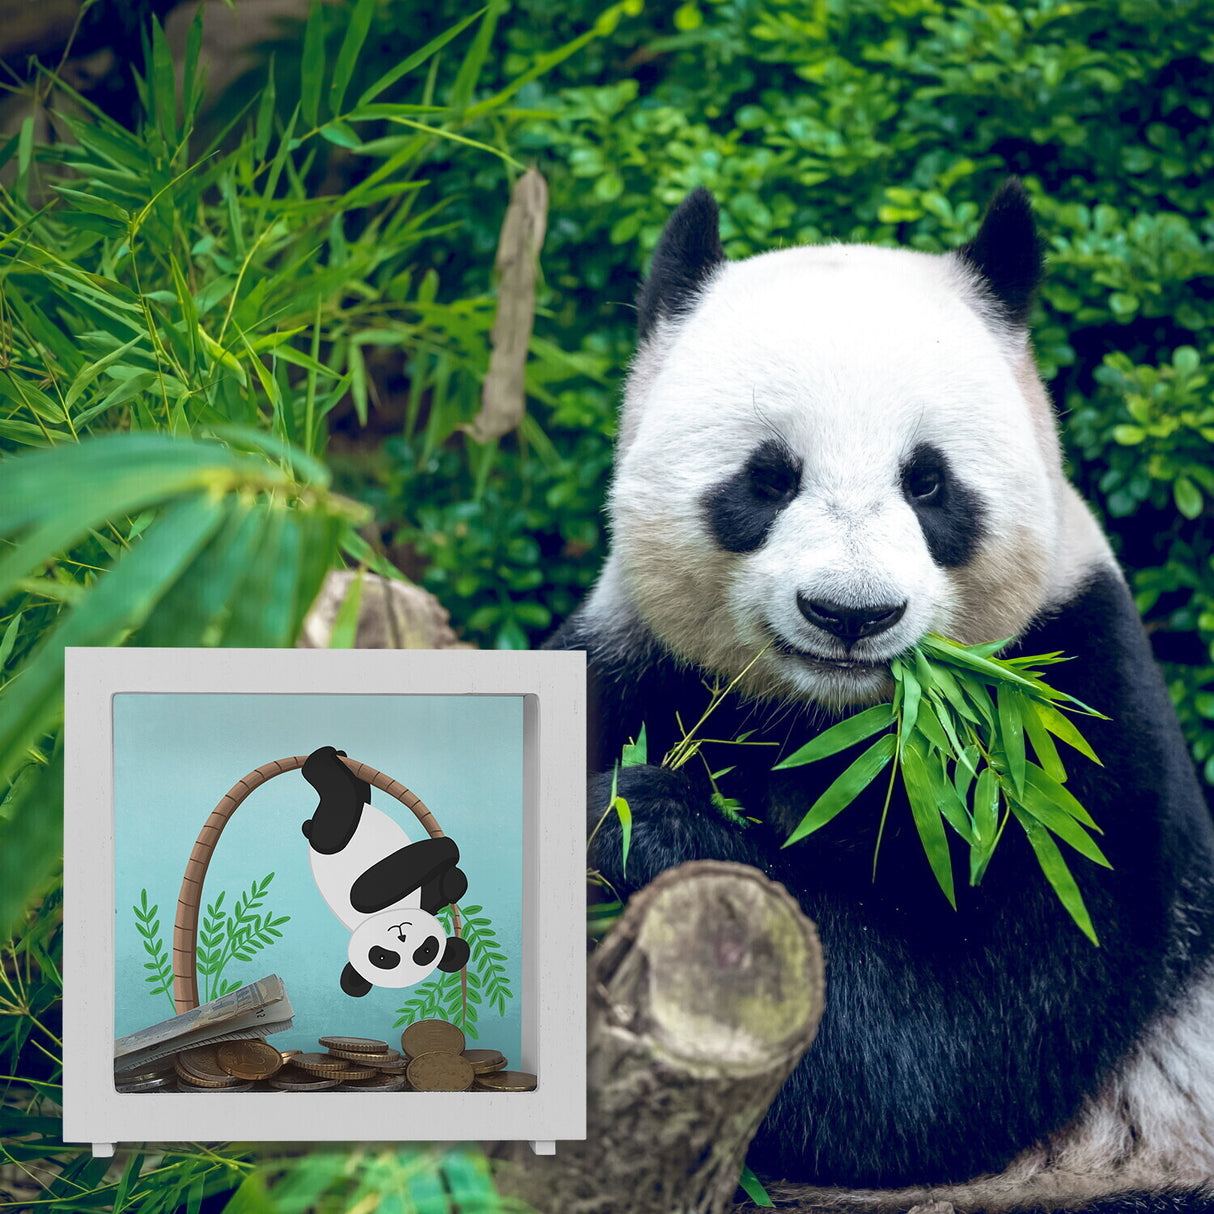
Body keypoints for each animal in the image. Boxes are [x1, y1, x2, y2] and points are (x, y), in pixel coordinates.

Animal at [301, 745, 470, 997]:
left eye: (426, 951)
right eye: (383, 957)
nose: (401, 934)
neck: (390, 911)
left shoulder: (419, 899)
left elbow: (442, 887)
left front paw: (452, 880)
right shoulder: (375, 890)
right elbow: (367, 890)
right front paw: (447, 847)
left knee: (354, 799)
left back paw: (339, 760)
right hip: (334, 828)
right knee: (335, 819)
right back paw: (322, 761)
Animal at [547, 181, 1214, 1211]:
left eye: (929, 481)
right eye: (768, 477)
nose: (851, 613)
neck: (839, 720)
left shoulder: (1067, 736)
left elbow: (947, 1048)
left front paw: (634, 819)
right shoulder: (634, 660)